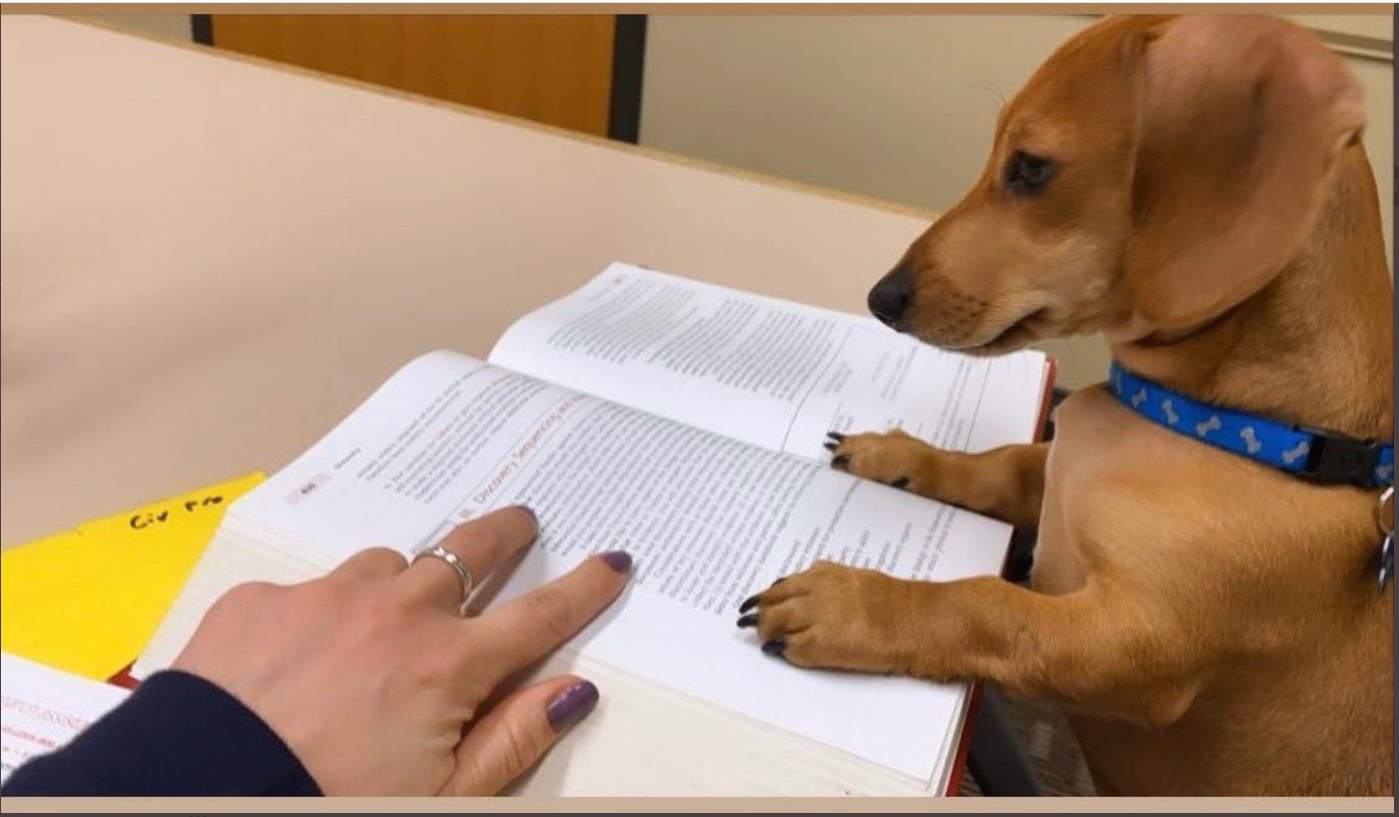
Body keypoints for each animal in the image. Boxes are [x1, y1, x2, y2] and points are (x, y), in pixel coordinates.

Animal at [738, 14, 1393, 800]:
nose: (879, 298)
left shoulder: (1133, 645)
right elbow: (992, 464)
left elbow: (988, 605)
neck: (1261, 431)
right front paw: (896, 453)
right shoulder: (1045, 471)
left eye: (1029, 168)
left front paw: (852, 604)